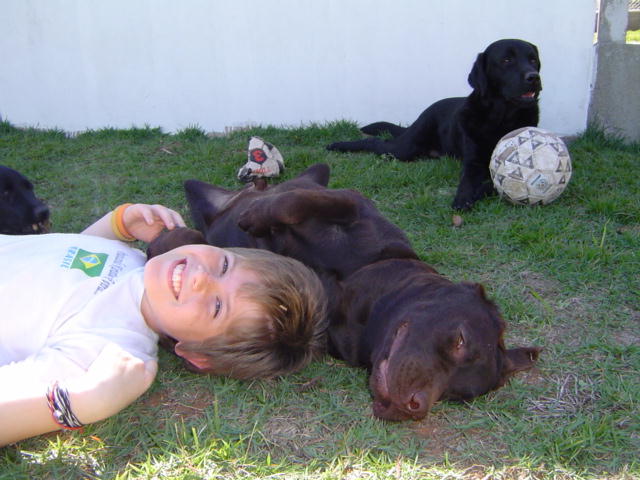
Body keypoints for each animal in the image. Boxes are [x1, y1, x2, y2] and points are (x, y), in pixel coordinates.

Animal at [149, 163, 541, 421]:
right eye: (460, 340)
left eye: (457, 395)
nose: (415, 407)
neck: (363, 288)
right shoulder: (352, 205)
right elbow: (300, 203)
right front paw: (258, 217)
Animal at [327, 38, 542, 210]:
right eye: (506, 60)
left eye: (533, 60)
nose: (534, 77)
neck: (500, 117)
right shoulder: (472, 161)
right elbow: (467, 180)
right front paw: (463, 198)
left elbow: (494, 184)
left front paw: (478, 192)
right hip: (404, 148)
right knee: (376, 143)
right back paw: (338, 145)